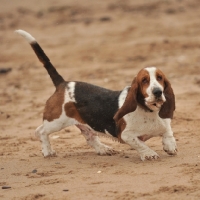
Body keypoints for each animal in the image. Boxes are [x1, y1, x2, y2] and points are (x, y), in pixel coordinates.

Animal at [16, 29, 177, 161]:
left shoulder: (165, 124)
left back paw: (103, 149)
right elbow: (140, 144)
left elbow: (168, 132)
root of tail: (63, 83)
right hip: (56, 121)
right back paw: (47, 151)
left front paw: (170, 146)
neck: (149, 111)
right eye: (144, 80)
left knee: (90, 137)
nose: (158, 92)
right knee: (40, 131)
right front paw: (149, 154)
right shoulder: (126, 135)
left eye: (160, 78)